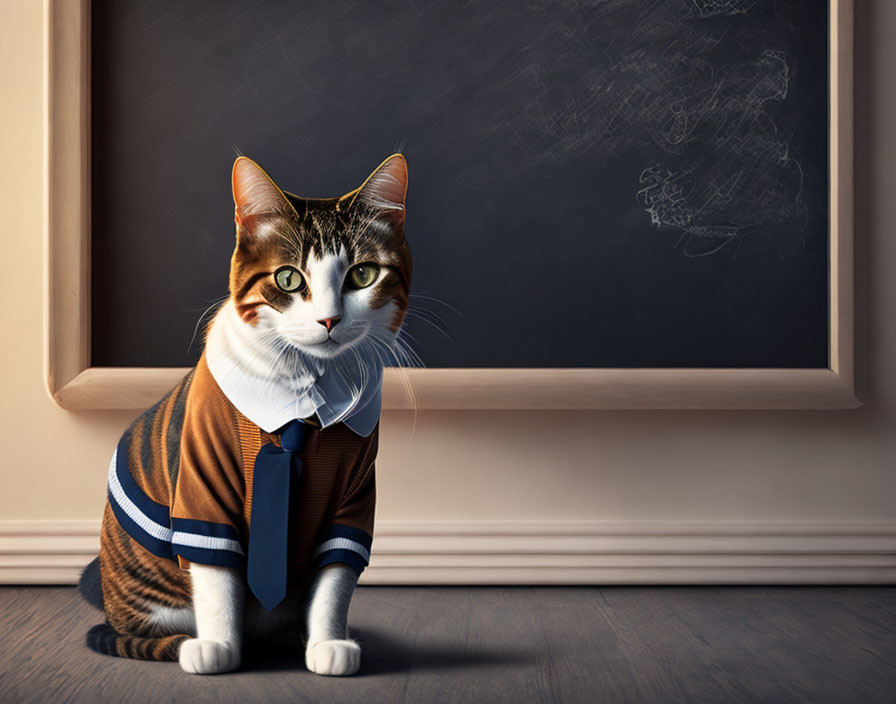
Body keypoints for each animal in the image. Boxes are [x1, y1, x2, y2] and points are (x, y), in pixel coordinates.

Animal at [79, 154, 412, 676]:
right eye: (289, 278)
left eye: (362, 275)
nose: (330, 319)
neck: (304, 401)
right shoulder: (202, 478)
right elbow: (216, 571)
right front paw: (218, 645)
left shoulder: (354, 496)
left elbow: (335, 578)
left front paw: (327, 643)